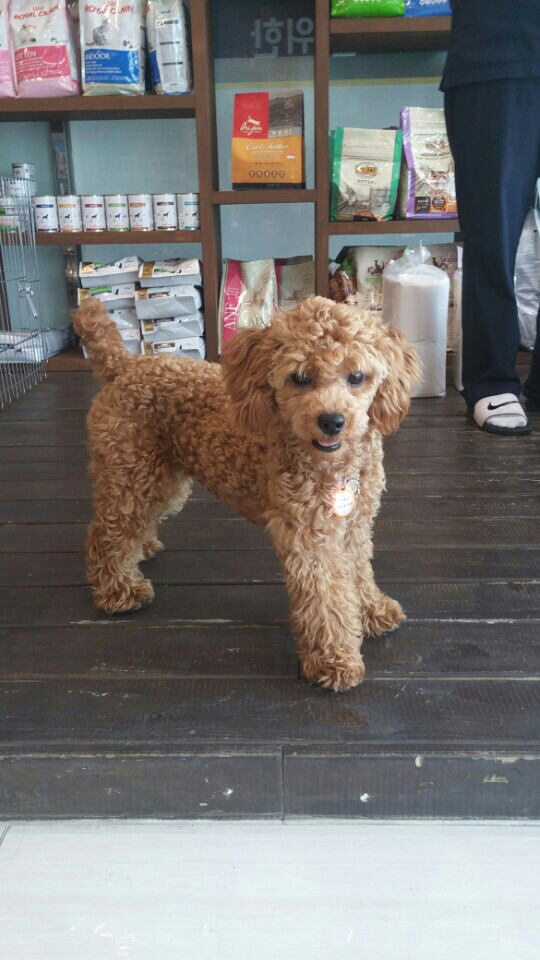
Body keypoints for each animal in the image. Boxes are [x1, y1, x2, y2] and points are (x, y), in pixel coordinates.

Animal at [74, 297, 419, 691]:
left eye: (357, 377)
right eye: (301, 378)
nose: (332, 421)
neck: (332, 466)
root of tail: (124, 364)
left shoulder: (354, 525)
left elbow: (359, 571)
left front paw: (372, 610)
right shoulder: (309, 538)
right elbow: (325, 599)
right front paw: (335, 660)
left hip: (162, 477)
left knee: (135, 521)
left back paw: (141, 548)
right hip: (129, 471)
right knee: (106, 532)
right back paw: (118, 590)